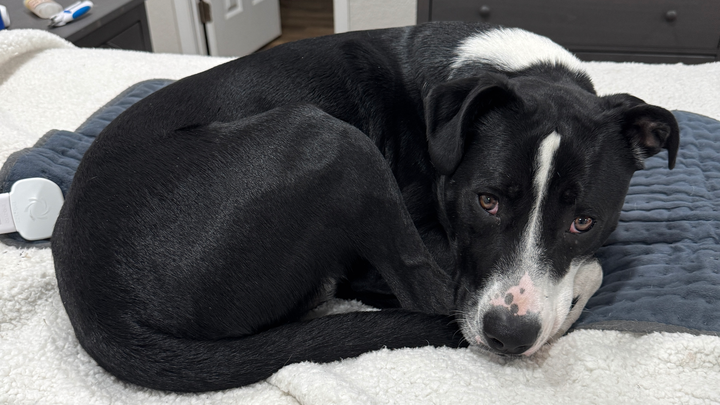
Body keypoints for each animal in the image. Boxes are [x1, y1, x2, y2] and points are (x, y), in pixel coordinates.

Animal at [52, 21, 679, 392]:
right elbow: (586, 275)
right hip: (329, 138)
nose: (510, 334)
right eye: (486, 201)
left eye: (583, 220)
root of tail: (101, 312)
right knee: (427, 297)